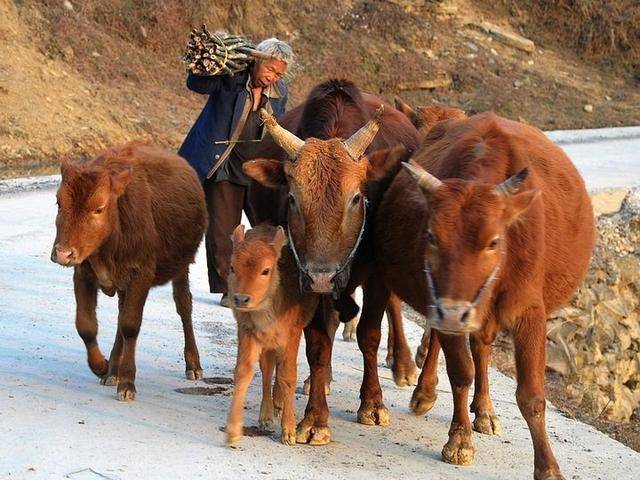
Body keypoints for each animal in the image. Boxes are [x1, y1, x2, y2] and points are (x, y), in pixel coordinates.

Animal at [50, 142, 205, 402]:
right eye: (59, 203)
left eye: (99, 208)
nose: (63, 253)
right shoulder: (83, 274)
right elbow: (86, 325)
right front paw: (101, 365)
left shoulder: (140, 275)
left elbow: (131, 325)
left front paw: (127, 382)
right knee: (120, 317)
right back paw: (113, 369)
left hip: (181, 267)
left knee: (184, 306)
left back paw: (193, 364)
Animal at [225, 225, 318, 446]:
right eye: (232, 267)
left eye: (265, 270)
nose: (241, 299)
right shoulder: (248, 333)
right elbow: (244, 372)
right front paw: (233, 431)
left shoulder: (291, 336)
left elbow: (288, 376)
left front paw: (289, 432)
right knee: (268, 371)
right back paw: (268, 413)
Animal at [241, 78, 420, 442]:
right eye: (293, 198)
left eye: (356, 198)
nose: (323, 276)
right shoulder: (303, 278)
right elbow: (317, 346)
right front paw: (314, 418)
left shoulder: (377, 275)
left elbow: (369, 334)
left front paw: (373, 403)